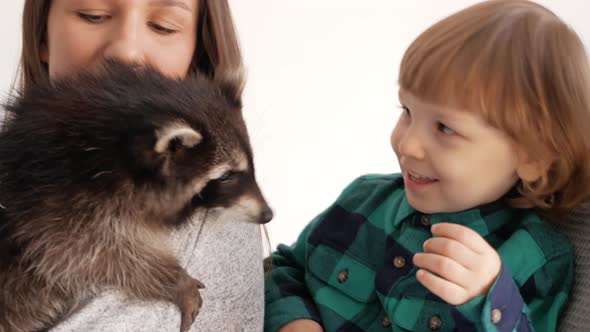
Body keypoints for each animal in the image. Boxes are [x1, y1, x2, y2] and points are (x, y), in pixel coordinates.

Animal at [0, 60, 272, 332]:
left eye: (250, 163)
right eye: (226, 176)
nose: (267, 215)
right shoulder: (56, 201)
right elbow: (84, 252)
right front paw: (172, 278)